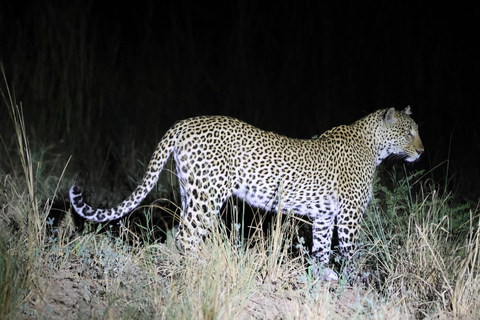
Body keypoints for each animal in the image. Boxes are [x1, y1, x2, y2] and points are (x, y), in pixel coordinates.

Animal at [69, 107, 422, 280]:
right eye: (408, 133)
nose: (421, 151)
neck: (374, 146)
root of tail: (183, 123)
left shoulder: (325, 215)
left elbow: (321, 249)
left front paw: (324, 276)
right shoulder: (348, 216)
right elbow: (350, 252)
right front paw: (355, 281)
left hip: (190, 190)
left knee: (180, 231)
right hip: (209, 194)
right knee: (186, 234)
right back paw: (203, 264)